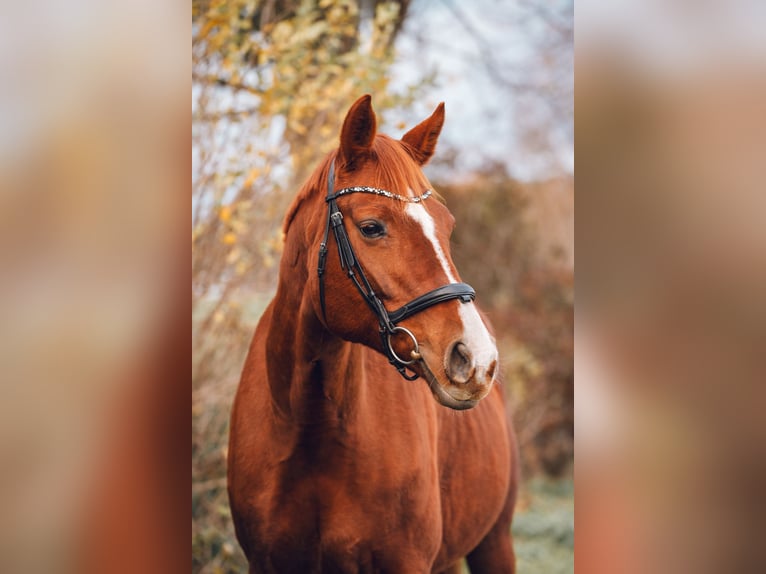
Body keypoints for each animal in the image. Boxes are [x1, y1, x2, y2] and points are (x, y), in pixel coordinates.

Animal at [225, 95, 520, 574]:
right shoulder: (267, 562)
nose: (476, 359)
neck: (309, 424)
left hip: (495, 542)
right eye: (371, 227)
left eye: (448, 226)